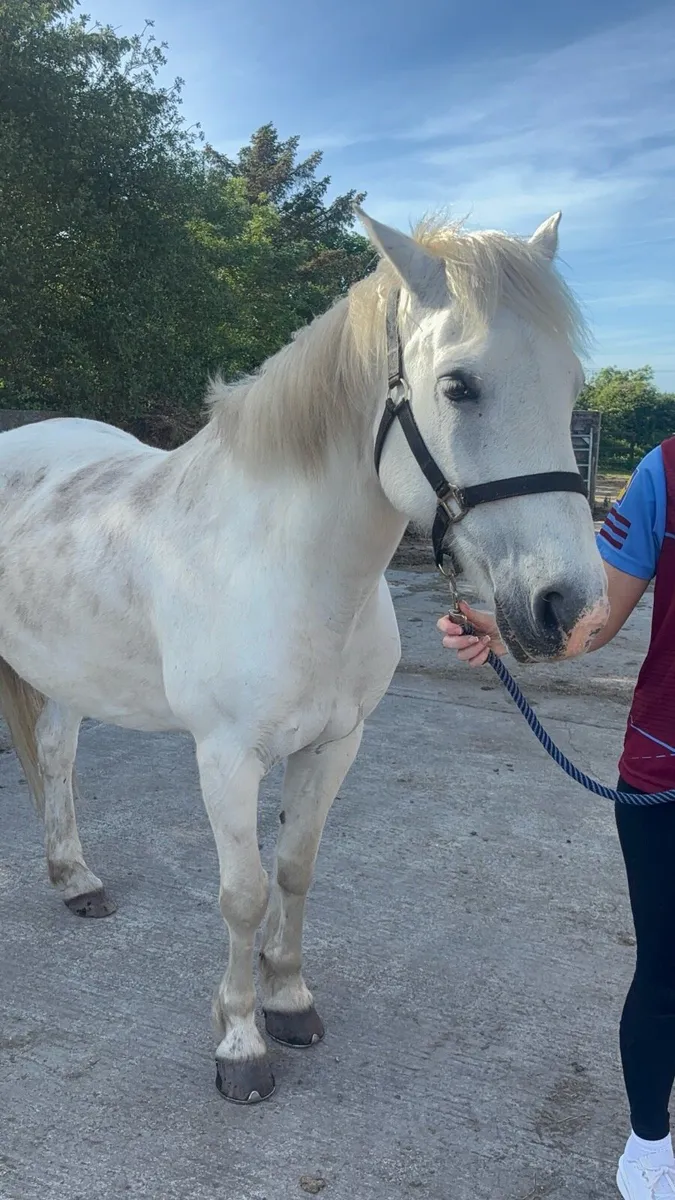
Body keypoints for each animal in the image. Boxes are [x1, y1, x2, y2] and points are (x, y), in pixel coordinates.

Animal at [0, 207, 608, 1104]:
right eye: (458, 386)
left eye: (569, 387)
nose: (566, 608)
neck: (290, 570)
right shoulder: (225, 757)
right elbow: (242, 893)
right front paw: (240, 1044)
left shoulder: (333, 743)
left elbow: (294, 869)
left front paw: (287, 1000)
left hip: (70, 671)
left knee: (56, 755)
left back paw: (77, 880)